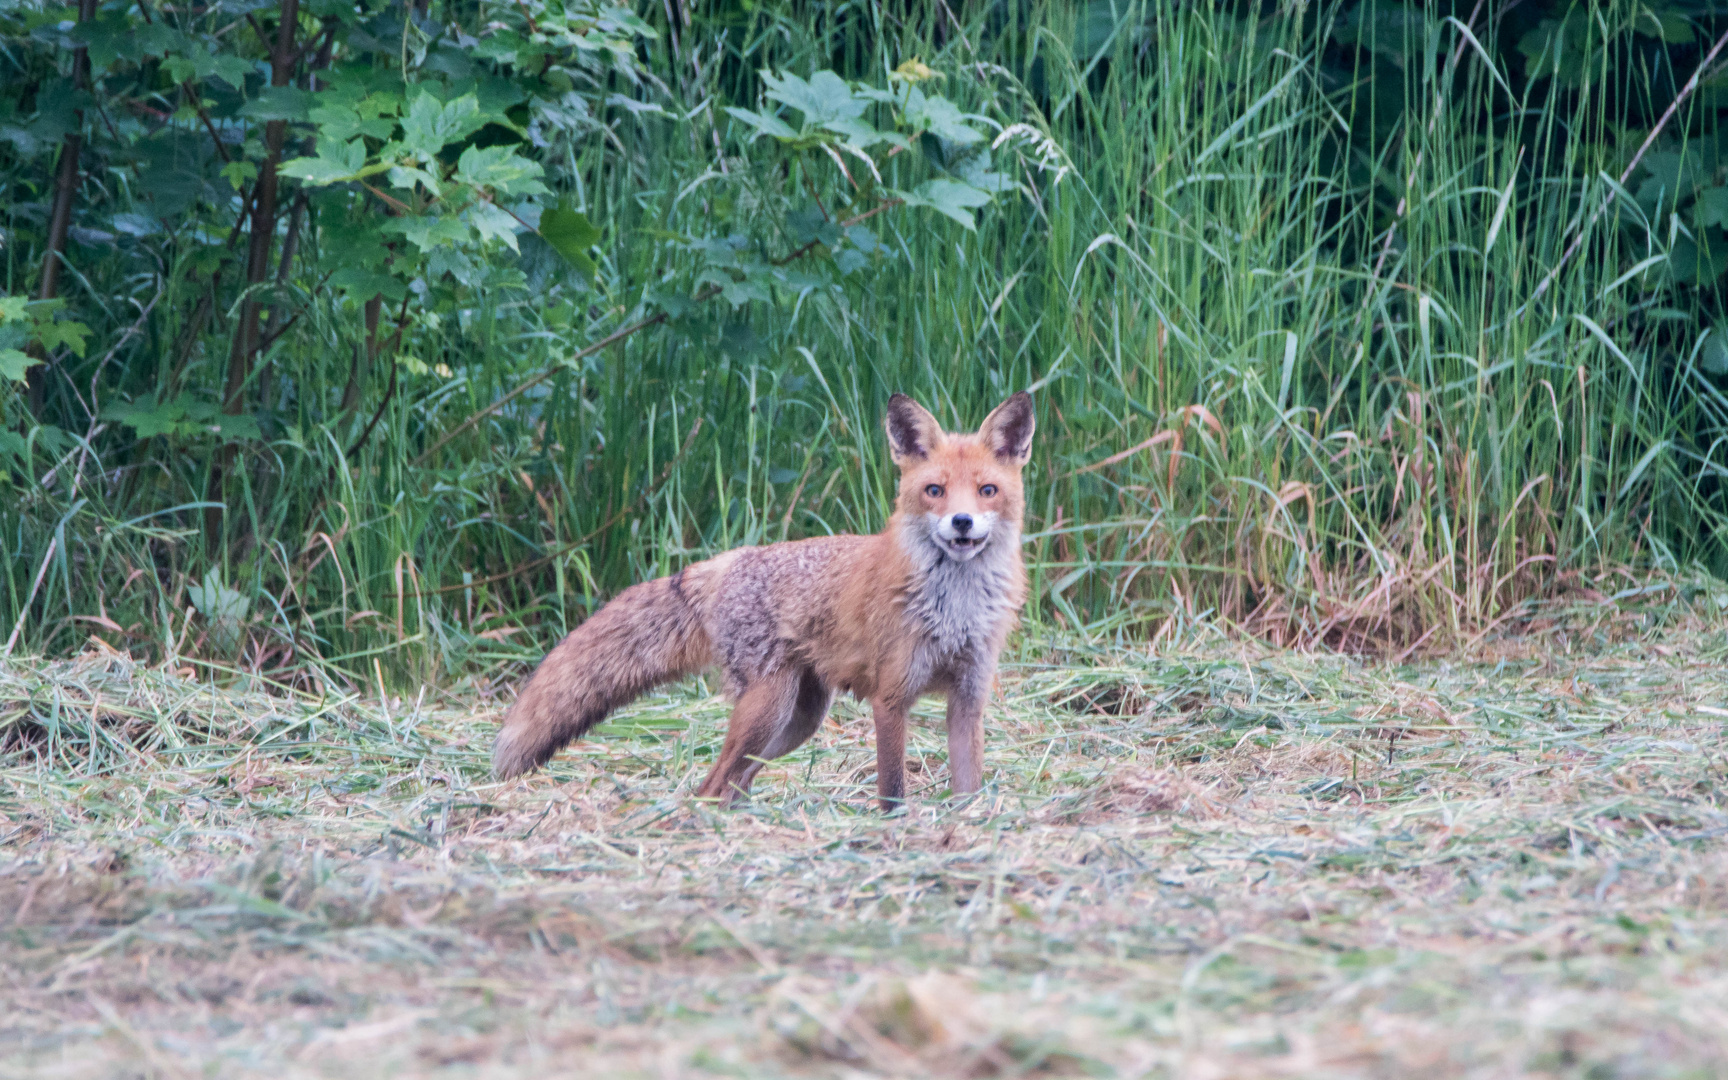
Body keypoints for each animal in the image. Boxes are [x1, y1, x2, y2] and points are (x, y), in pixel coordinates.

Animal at [487, 392, 1029, 805]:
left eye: (987, 490)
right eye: (935, 490)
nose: (962, 522)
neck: (955, 608)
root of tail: (731, 559)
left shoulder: (968, 699)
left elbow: (969, 787)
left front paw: (967, 825)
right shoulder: (890, 699)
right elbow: (892, 789)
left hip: (796, 721)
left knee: (734, 782)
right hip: (769, 707)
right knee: (713, 783)